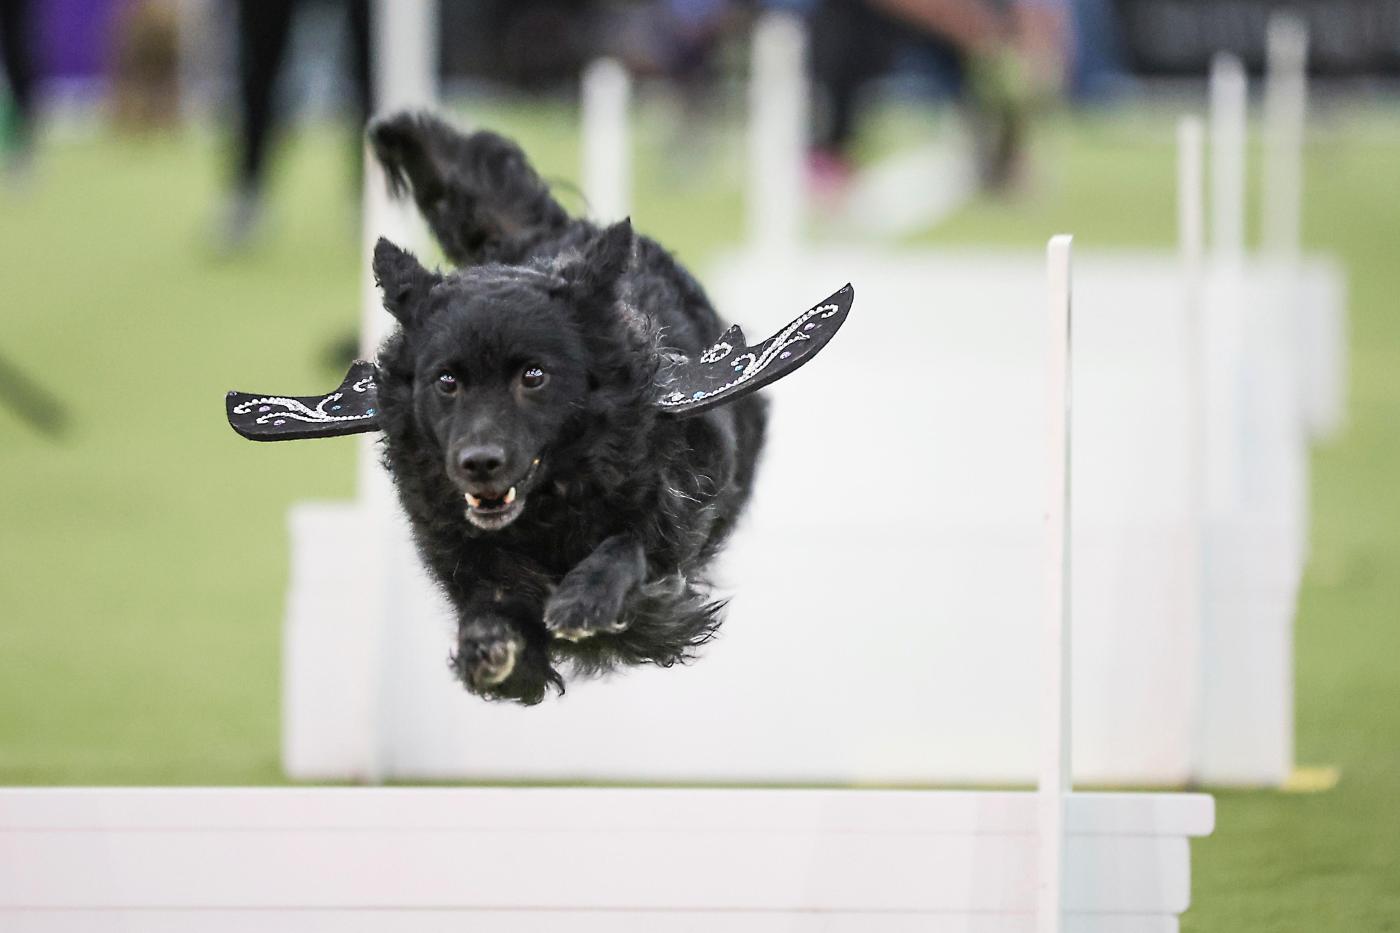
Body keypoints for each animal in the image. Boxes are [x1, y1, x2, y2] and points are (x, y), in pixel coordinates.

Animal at [366, 112, 767, 700]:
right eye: (447, 381)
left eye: (533, 376)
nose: (478, 463)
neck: (548, 503)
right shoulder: (458, 546)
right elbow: (490, 599)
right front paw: (487, 642)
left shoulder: (672, 514)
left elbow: (631, 546)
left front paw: (586, 599)